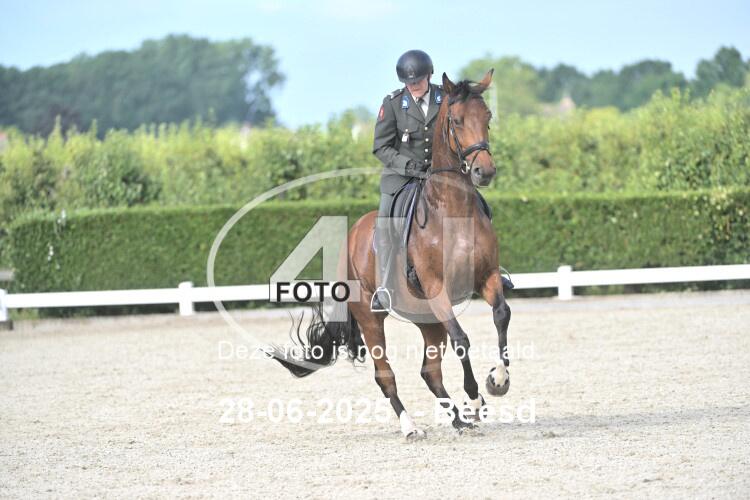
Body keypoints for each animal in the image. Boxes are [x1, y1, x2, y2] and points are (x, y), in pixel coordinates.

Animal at [270, 70, 511, 440]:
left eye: (488, 118)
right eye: (456, 121)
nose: (484, 171)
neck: (453, 211)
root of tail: (352, 236)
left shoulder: (487, 276)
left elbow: (501, 315)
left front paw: (497, 381)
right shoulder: (436, 288)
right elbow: (462, 340)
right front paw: (474, 398)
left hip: (427, 319)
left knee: (430, 372)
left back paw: (458, 420)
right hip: (372, 319)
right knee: (385, 375)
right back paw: (411, 426)